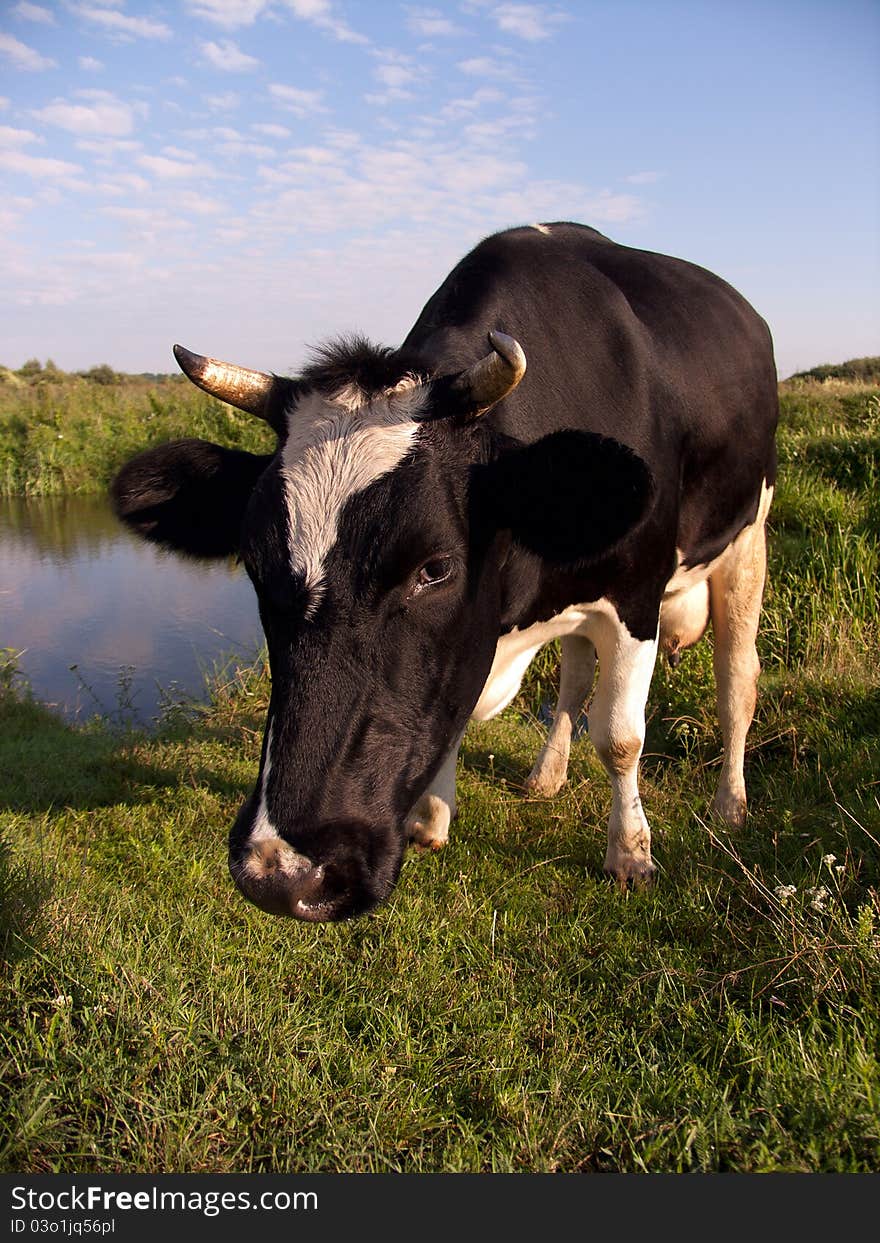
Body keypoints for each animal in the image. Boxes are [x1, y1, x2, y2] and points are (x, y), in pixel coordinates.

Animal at [113, 223, 780, 924]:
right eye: (256, 563)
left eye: (436, 568)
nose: (282, 872)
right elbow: (469, 705)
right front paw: (432, 819)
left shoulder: (635, 592)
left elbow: (620, 736)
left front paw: (630, 854)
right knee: (573, 676)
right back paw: (547, 775)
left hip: (749, 536)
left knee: (738, 678)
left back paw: (730, 803)